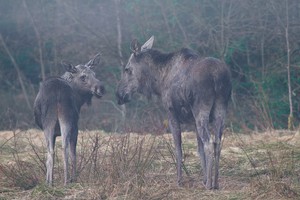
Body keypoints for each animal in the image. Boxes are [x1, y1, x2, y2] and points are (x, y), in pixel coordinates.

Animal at [33, 53, 104, 186]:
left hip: (52, 121)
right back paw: (64, 180)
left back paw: (57, 182)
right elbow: (73, 153)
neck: (79, 100)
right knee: (61, 148)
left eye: (95, 73)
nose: (101, 88)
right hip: (65, 119)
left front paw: (52, 180)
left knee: (55, 149)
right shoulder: (75, 126)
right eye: (83, 76)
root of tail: (57, 91)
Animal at [116, 36, 231, 190]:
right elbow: (199, 149)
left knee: (208, 143)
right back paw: (216, 182)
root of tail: (217, 77)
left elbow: (178, 149)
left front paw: (179, 180)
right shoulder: (193, 120)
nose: (119, 95)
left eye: (127, 69)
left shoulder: (171, 113)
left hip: (201, 110)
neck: (158, 82)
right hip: (220, 110)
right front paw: (204, 179)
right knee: (217, 143)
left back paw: (209, 185)